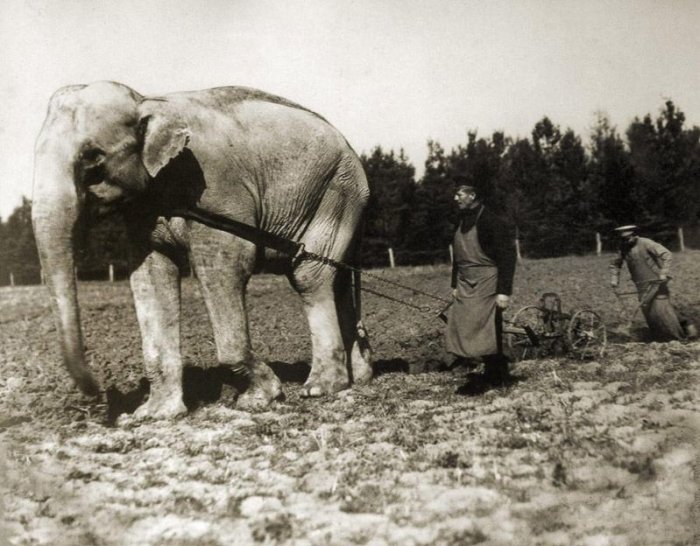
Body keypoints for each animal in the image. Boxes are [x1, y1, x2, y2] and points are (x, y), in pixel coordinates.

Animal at [32, 81, 373, 419]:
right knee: (338, 280)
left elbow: (225, 265)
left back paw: (320, 388)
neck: (146, 100)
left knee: (310, 277)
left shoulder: (217, 190)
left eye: (92, 158)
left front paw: (260, 399)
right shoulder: (144, 213)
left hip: (337, 191)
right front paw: (154, 414)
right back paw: (361, 375)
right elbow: (150, 276)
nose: (98, 394)